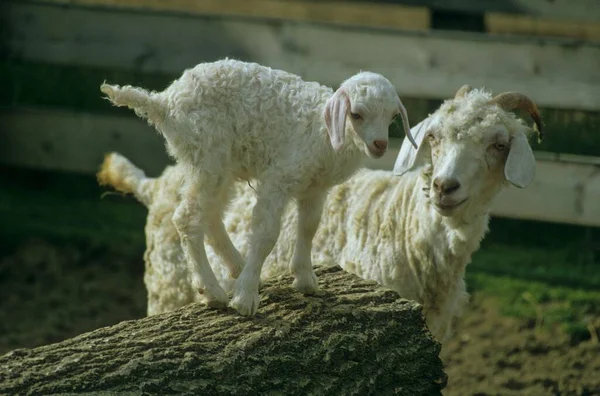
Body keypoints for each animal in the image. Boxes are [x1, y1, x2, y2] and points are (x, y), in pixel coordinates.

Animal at [101, 58, 414, 316]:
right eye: (356, 114)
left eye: (392, 117)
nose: (380, 145)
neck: (324, 133)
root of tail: (164, 101)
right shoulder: (278, 179)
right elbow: (266, 234)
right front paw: (245, 299)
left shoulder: (314, 188)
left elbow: (309, 227)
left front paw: (305, 280)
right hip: (208, 154)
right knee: (187, 219)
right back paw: (213, 292)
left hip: (218, 165)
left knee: (211, 218)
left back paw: (236, 268)